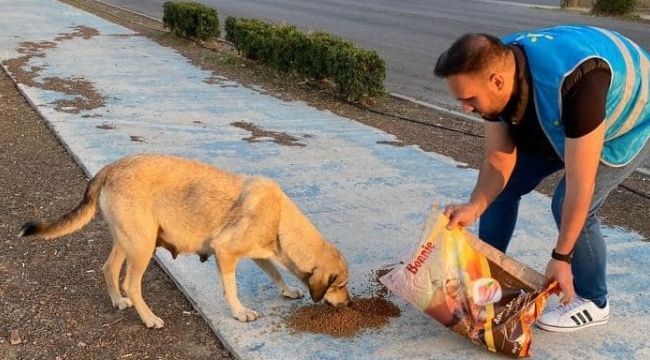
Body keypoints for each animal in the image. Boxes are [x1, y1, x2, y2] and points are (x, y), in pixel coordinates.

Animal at [20, 153, 352, 328]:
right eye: (340, 285)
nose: (349, 304)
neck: (281, 221)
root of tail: (112, 167)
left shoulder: (260, 254)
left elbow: (275, 273)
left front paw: (288, 290)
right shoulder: (226, 253)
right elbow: (232, 289)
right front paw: (239, 312)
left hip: (129, 241)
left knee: (109, 270)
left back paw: (117, 301)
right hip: (142, 247)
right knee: (131, 283)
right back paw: (149, 318)